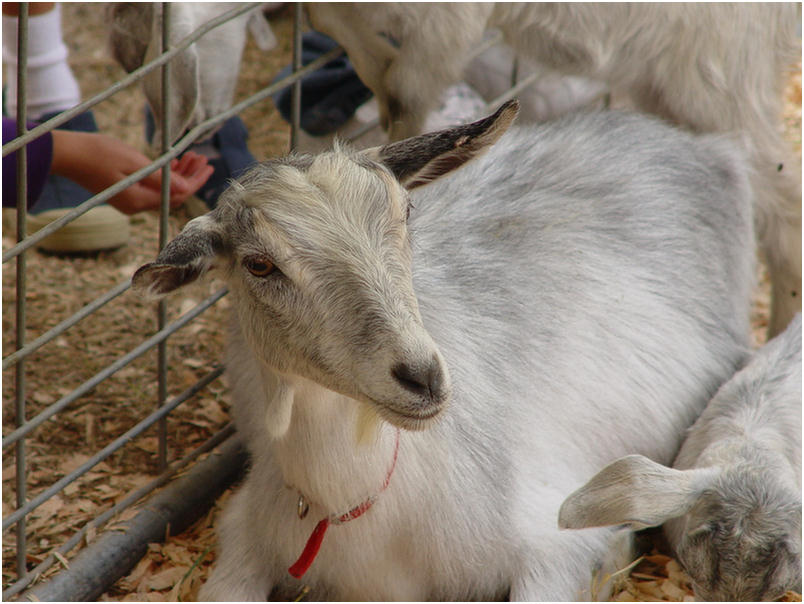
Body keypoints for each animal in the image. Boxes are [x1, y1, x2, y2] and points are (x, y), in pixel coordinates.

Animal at [130, 104, 752, 600]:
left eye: (405, 213)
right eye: (259, 264)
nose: (422, 377)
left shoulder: (550, 536)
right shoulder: (245, 529)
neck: (356, 504)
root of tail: (695, 142)